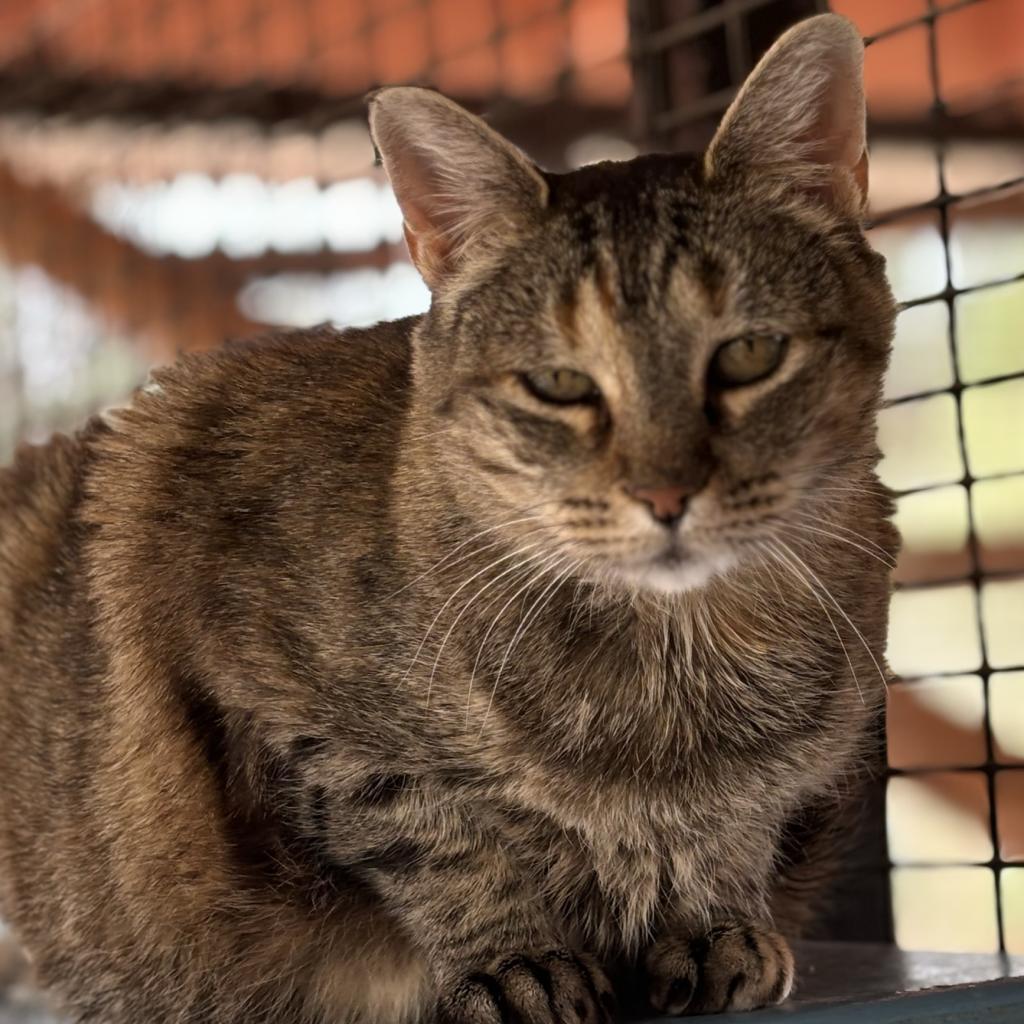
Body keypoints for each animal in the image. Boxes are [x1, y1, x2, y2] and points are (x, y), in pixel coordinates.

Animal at [0, 14, 897, 1024]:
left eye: (749, 355)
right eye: (558, 383)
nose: (666, 495)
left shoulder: (806, 756)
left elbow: (742, 823)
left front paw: (715, 923)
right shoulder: (287, 712)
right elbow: (441, 843)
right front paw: (517, 960)